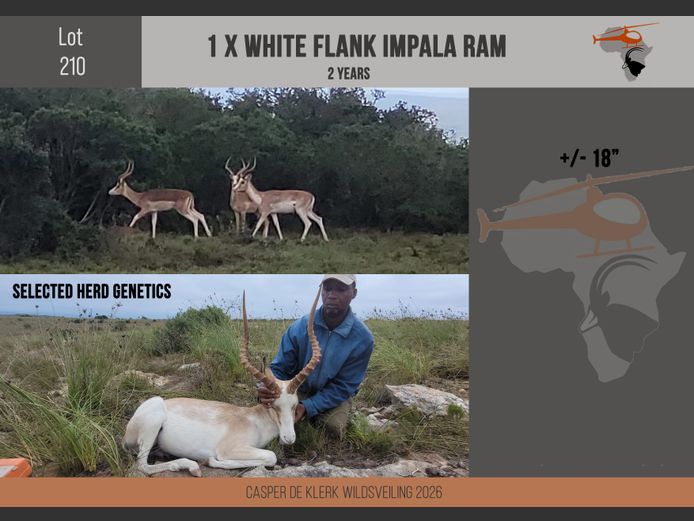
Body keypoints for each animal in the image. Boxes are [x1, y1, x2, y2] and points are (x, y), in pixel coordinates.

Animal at [122, 288, 322, 476]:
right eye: (273, 405)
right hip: (151, 427)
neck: (254, 419)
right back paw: (192, 466)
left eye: (295, 404)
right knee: (142, 466)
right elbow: (270, 456)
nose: (289, 438)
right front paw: (211, 461)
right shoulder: (229, 449)